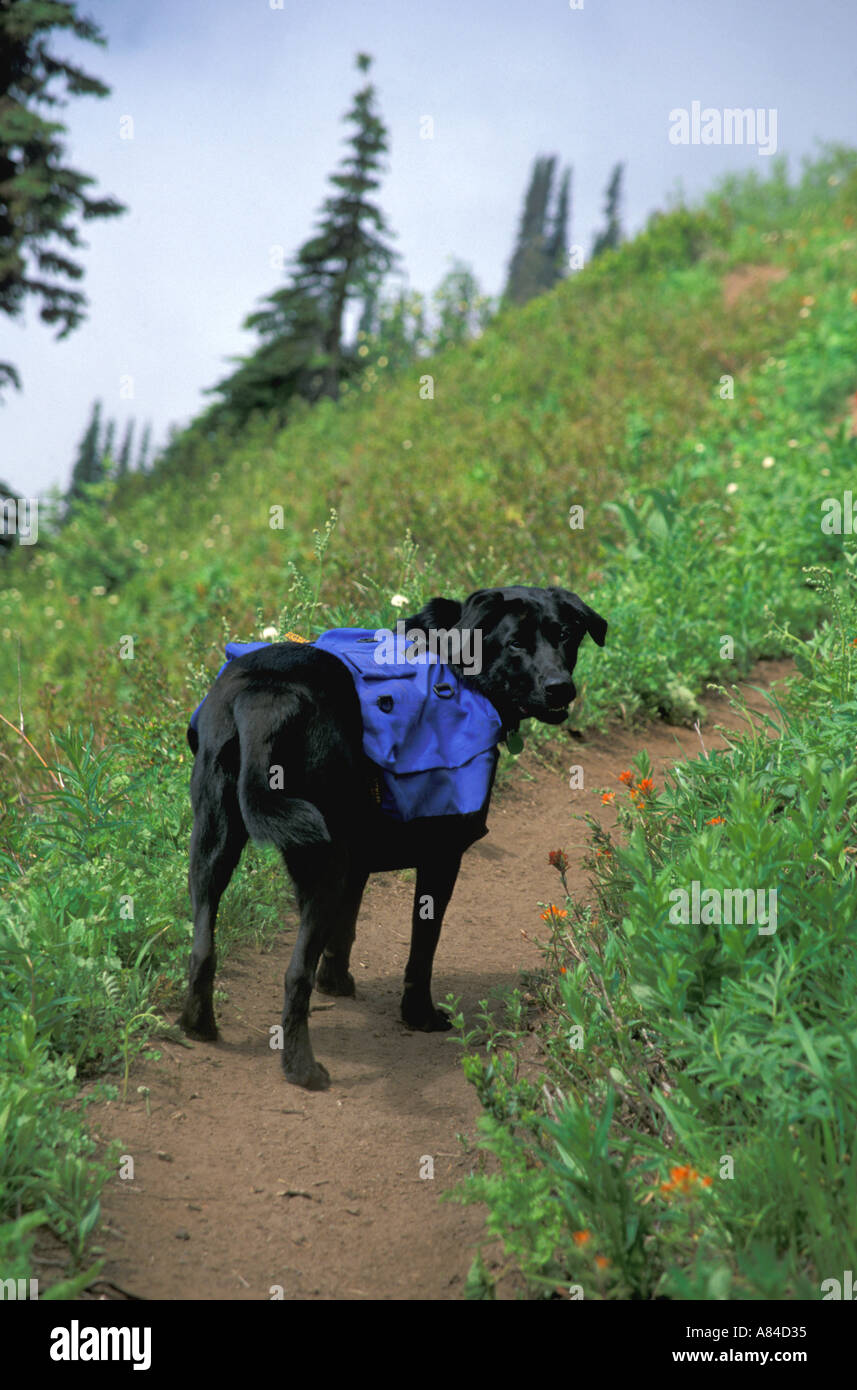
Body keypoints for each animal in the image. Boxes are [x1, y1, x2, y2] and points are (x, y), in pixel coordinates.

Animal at [177, 586, 605, 1084]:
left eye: (566, 635)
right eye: (516, 642)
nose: (561, 687)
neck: (457, 661)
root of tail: (268, 697)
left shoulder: (356, 860)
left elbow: (344, 932)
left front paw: (338, 984)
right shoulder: (441, 856)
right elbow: (423, 949)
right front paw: (419, 1015)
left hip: (214, 845)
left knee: (202, 948)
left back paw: (198, 1025)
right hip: (320, 858)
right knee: (294, 973)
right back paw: (302, 1069)